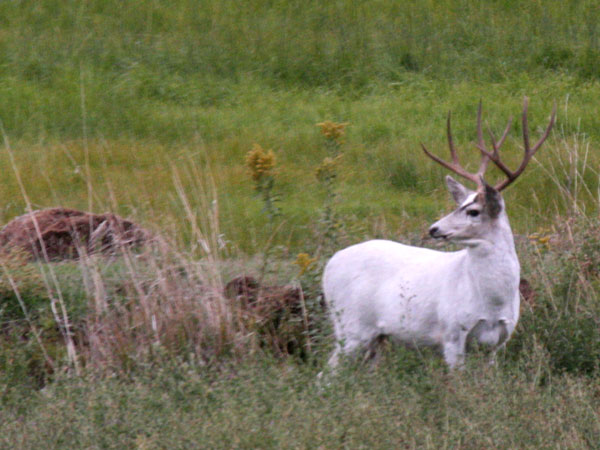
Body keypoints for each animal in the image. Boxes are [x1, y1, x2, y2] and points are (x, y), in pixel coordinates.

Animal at [324, 98, 552, 370]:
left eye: (473, 210)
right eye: (459, 203)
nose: (434, 228)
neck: (492, 302)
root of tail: (329, 264)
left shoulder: (499, 342)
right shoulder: (452, 334)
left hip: (375, 337)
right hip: (350, 327)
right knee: (327, 372)